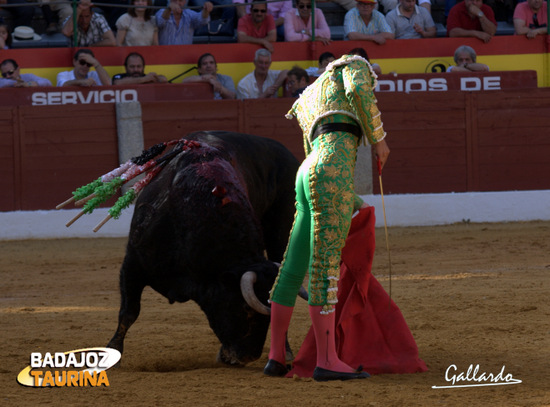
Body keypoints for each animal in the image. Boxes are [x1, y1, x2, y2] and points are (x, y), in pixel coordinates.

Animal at [108, 131, 302, 366]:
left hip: (281, 234)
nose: (248, 356)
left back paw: (285, 352)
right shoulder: (133, 262)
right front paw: (112, 352)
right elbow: (129, 312)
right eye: (245, 309)